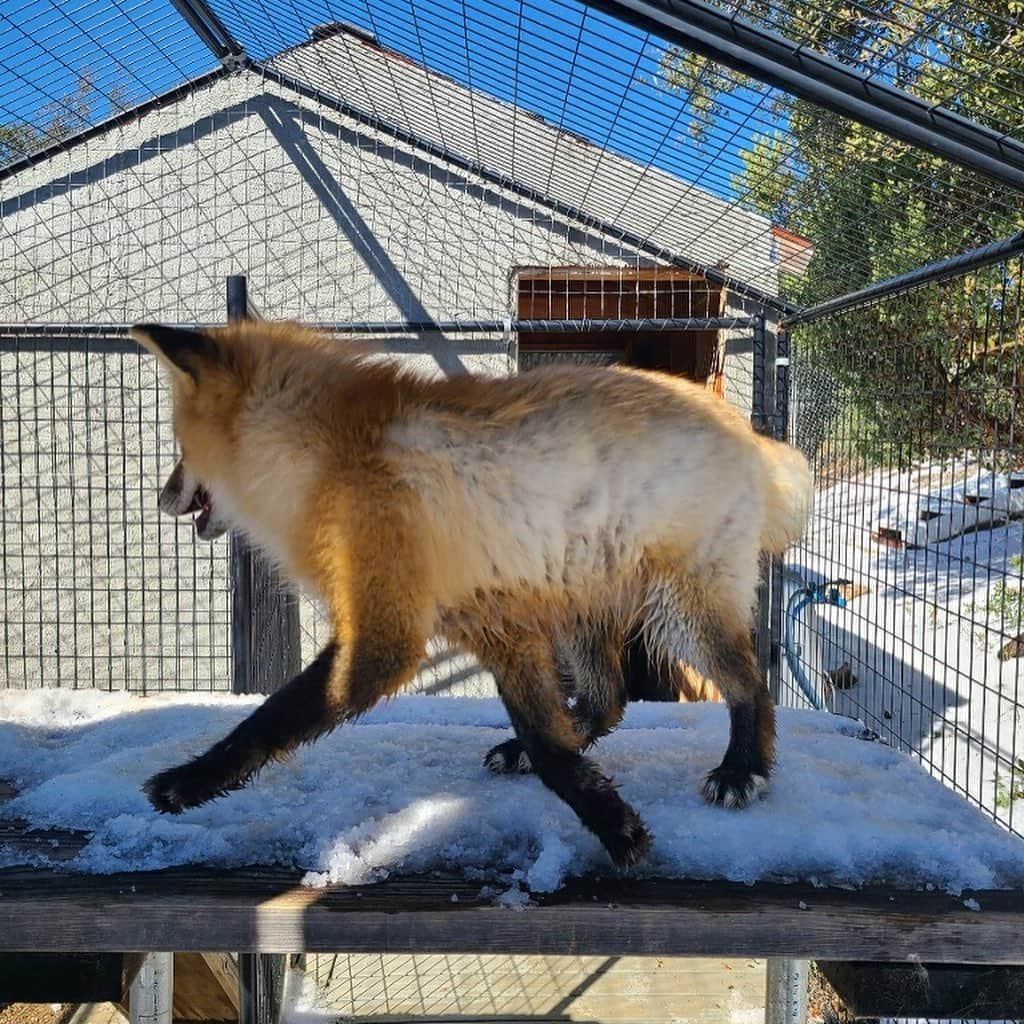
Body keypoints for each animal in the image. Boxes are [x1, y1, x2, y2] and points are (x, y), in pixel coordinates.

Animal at [132, 323, 811, 868]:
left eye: (180, 449)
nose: (160, 498)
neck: (323, 462)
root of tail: (745, 429)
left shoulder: (386, 638)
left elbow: (268, 720)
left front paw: (189, 782)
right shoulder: (495, 624)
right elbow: (547, 743)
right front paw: (608, 816)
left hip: (680, 611)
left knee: (751, 685)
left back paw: (743, 769)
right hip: (575, 605)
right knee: (609, 699)